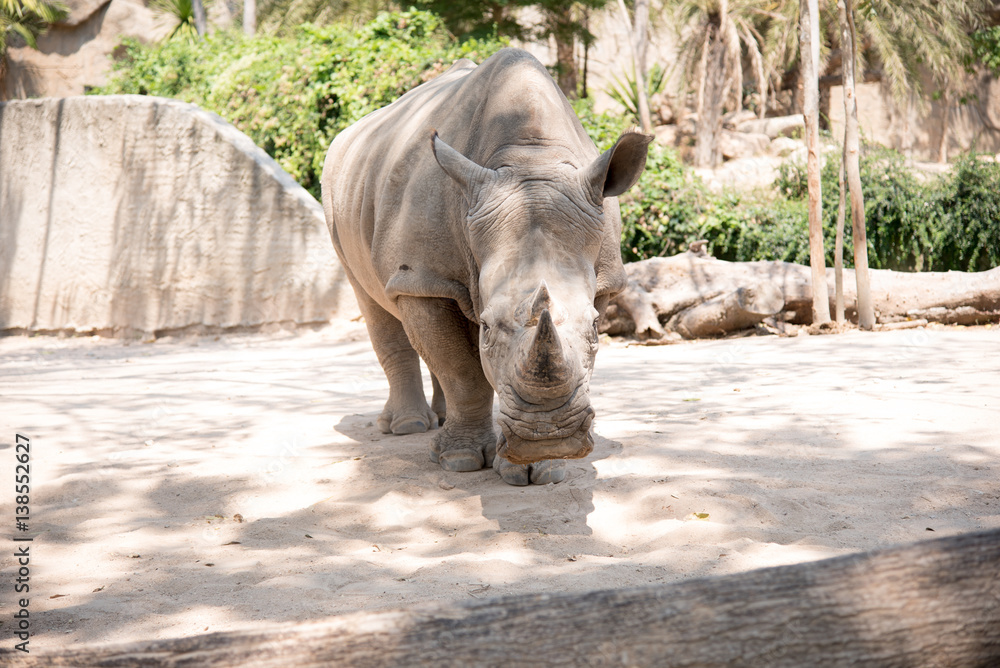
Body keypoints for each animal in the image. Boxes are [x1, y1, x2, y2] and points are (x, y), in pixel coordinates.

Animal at [321, 47, 651, 485]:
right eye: (488, 328)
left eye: (597, 326)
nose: (549, 439)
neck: (530, 160)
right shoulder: (422, 276)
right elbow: (461, 370)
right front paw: (459, 461)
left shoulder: (604, 279)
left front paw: (543, 469)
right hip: (342, 202)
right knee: (373, 301)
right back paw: (408, 427)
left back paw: (441, 419)